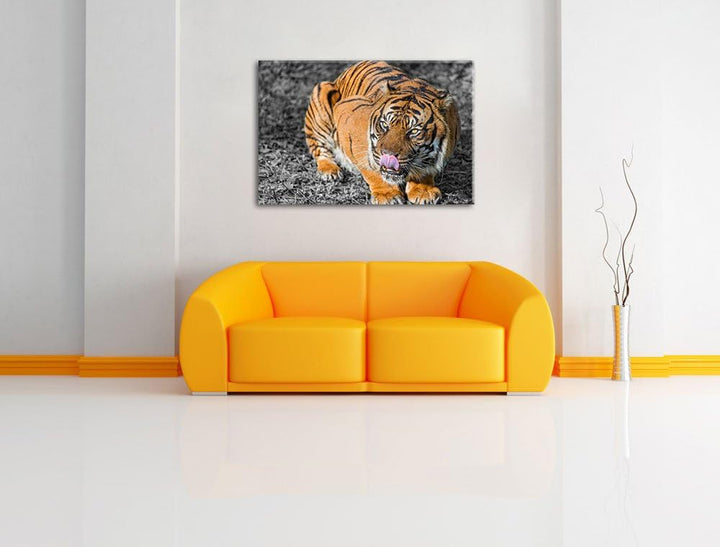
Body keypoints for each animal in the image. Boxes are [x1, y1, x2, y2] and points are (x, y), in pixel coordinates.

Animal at [304, 61, 460, 205]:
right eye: (385, 125)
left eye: (414, 131)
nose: (388, 155)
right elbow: (371, 168)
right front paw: (388, 194)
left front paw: (423, 191)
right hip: (322, 98)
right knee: (318, 148)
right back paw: (330, 171)